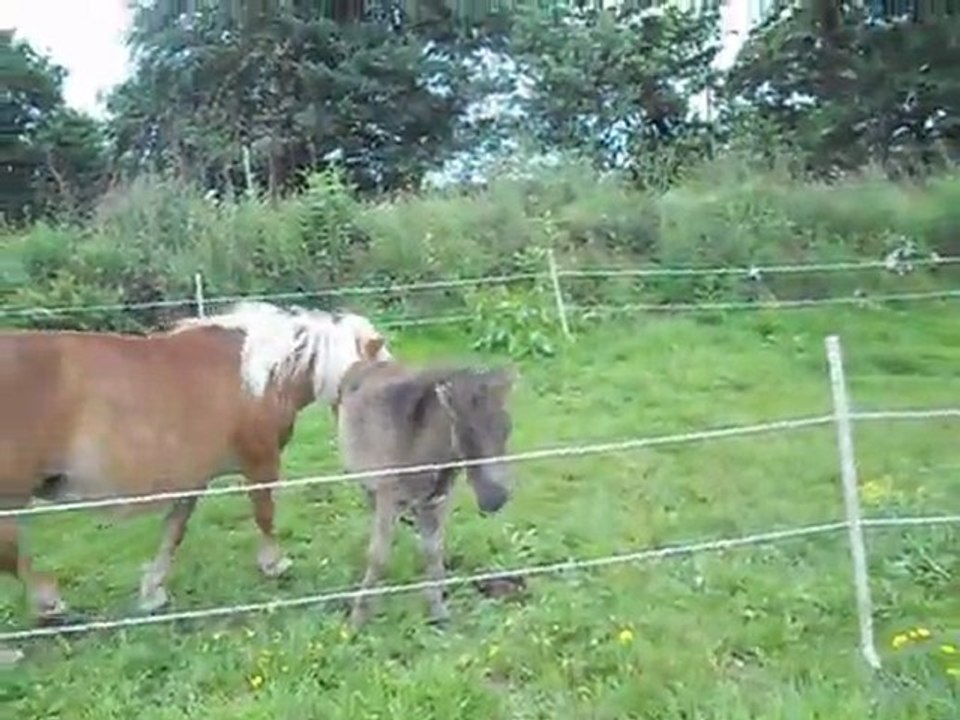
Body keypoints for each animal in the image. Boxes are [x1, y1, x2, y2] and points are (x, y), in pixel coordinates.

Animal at [0, 300, 392, 626]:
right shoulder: (260, 461)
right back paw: (48, 605)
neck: (262, 374)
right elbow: (264, 514)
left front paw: (153, 592)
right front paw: (274, 565)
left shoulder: (191, 479)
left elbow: (174, 532)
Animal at [335, 359, 515, 627]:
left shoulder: (436, 502)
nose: (495, 499)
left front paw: (439, 612)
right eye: (467, 431)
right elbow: (378, 555)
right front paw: (358, 618)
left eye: (507, 428)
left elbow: (433, 552)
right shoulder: (388, 497)